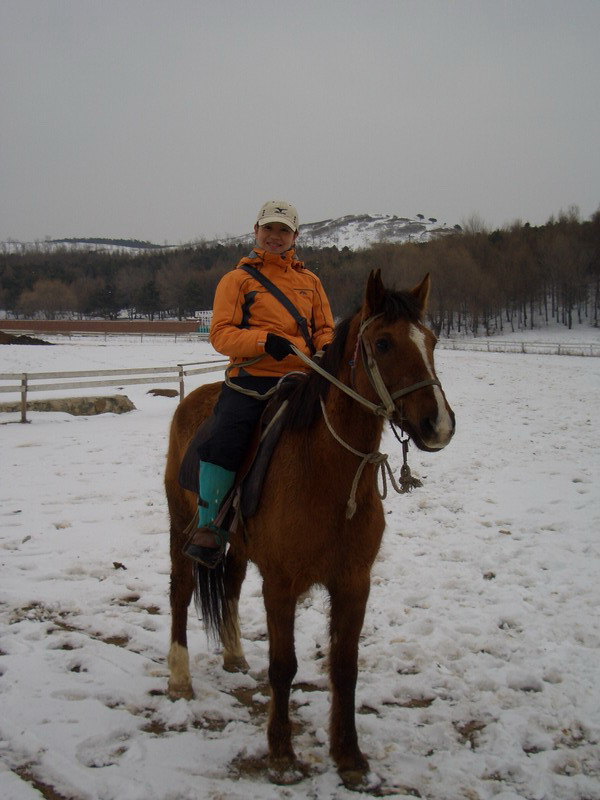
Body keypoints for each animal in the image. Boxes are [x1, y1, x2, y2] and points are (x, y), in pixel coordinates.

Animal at [164, 272, 454, 784]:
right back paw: (180, 677)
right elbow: (284, 666)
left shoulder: (354, 583)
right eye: (383, 343)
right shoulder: (281, 585)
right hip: (182, 530)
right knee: (180, 592)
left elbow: (345, 667)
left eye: (432, 341)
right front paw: (281, 753)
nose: (437, 424)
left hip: (237, 547)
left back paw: (234, 655)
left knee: (231, 586)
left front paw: (349, 755)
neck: (327, 472)